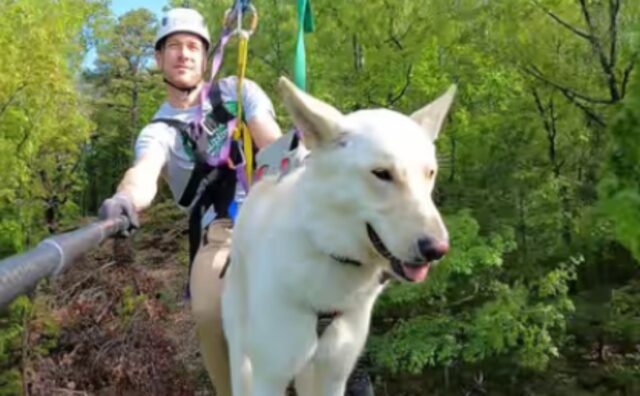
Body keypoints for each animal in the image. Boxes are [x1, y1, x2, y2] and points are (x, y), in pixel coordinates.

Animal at [224, 77, 456, 396]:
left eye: (429, 173)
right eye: (381, 173)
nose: (438, 249)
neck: (328, 254)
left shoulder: (335, 375)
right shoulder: (269, 377)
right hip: (241, 353)